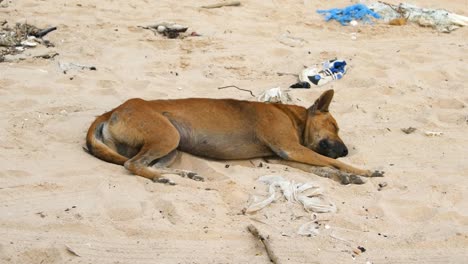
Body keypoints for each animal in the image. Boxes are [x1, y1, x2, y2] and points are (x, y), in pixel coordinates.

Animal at [86, 89, 382, 185]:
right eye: (334, 126)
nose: (346, 150)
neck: (291, 116)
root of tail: (113, 110)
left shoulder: (284, 157)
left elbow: (323, 168)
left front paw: (345, 176)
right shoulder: (292, 150)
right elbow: (332, 163)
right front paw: (363, 170)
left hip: (173, 144)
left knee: (149, 163)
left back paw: (182, 174)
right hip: (167, 137)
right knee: (133, 164)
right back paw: (160, 178)